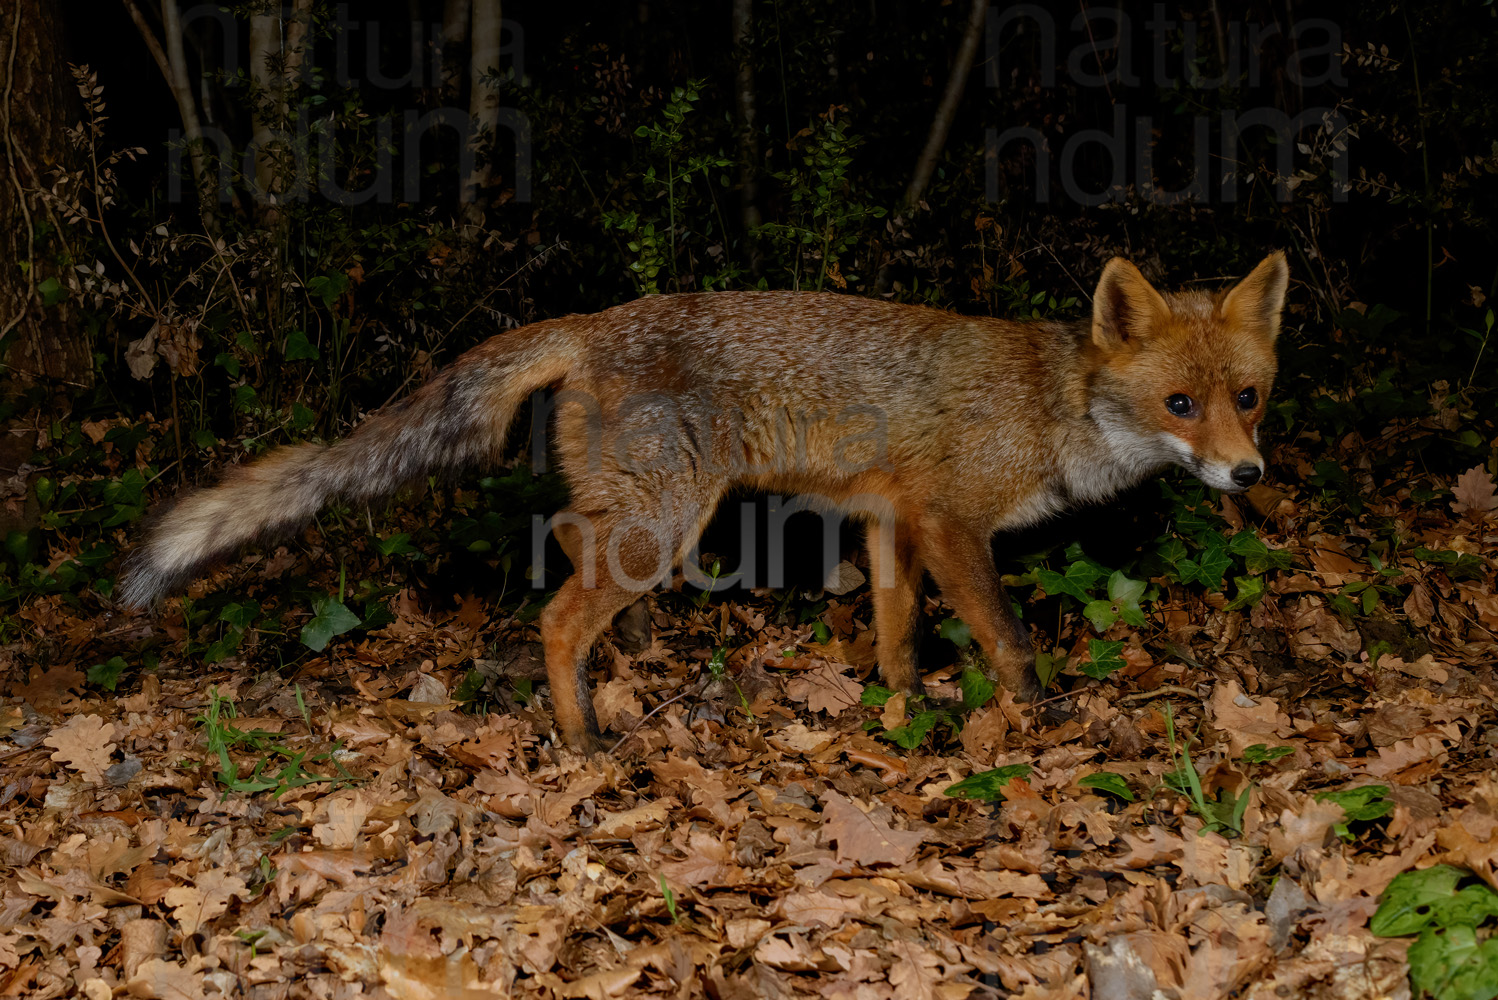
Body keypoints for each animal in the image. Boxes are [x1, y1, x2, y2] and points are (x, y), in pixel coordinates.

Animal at [119, 254, 1288, 745]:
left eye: (1248, 396)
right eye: (1178, 403)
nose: (1248, 475)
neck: (1053, 407)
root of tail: (592, 318)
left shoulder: (891, 518)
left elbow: (898, 632)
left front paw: (901, 710)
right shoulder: (950, 520)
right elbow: (1007, 637)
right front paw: (1034, 724)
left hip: (643, 515)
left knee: (561, 539)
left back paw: (625, 662)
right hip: (667, 517)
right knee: (557, 614)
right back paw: (583, 736)